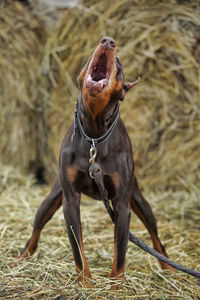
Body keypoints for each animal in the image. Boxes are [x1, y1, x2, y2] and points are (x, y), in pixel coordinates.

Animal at [15, 37, 173, 288]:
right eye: (90, 55)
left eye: (119, 64)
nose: (108, 41)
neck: (94, 133)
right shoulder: (70, 200)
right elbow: (77, 249)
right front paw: (85, 285)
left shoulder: (122, 204)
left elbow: (120, 251)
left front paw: (115, 287)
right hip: (51, 199)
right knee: (36, 230)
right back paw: (21, 259)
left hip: (140, 200)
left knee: (156, 237)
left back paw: (168, 268)